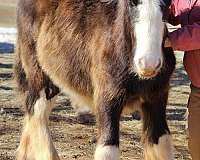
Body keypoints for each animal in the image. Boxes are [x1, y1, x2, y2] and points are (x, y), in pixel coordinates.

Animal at [15, 0, 175, 159]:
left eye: (167, 5)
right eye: (131, 4)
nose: (148, 64)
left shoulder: (156, 97)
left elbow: (161, 142)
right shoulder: (107, 97)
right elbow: (108, 148)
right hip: (38, 72)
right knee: (38, 110)